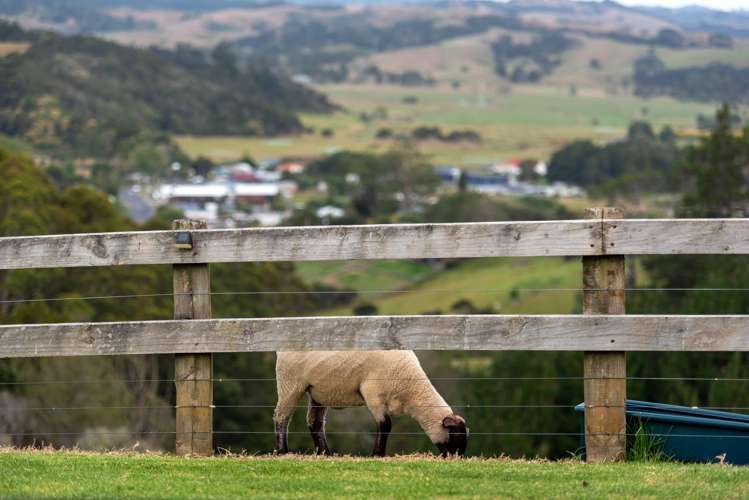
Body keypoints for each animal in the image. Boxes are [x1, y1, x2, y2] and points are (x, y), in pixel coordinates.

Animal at [268, 352, 468, 458]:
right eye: (455, 435)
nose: (457, 458)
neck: (410, 389)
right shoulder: (373, 394)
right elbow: (385, 425)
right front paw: (377, 454)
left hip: (318, 392)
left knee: (314, 423)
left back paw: (325, 453)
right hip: (290, 384)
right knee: (281, 416)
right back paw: (282, 451)